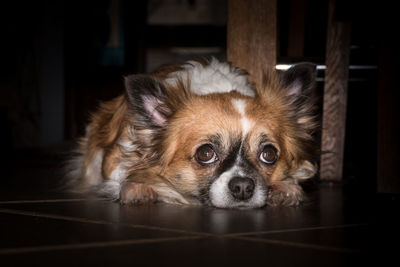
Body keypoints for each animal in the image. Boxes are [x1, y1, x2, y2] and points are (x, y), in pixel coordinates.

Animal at [65, 58, 318, 209]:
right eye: (205, 153)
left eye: (269, 154)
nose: (243, 187)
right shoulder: (117, 155)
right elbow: (121, 174)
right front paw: (137, 187)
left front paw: (286, 187)